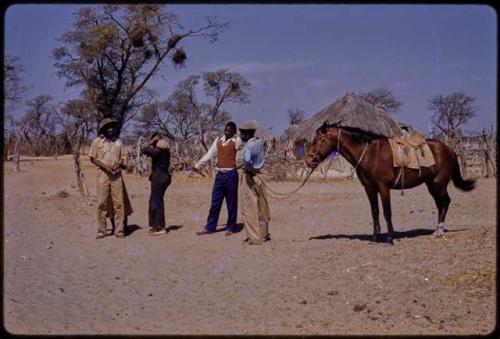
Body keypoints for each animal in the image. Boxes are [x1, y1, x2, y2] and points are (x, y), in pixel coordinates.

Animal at [304, 121, 476, 246]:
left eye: (318, 140)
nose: (309, 160)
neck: (369, 154)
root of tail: (449, 149)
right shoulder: (370, 189)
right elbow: (375, 212)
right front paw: (375, 238)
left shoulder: (383, 188)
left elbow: (387, 212)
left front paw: (389, 239)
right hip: (431, 185)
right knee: (441, 204)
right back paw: (436, 231)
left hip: (439, 183)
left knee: (445, 202)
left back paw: (439, 232)